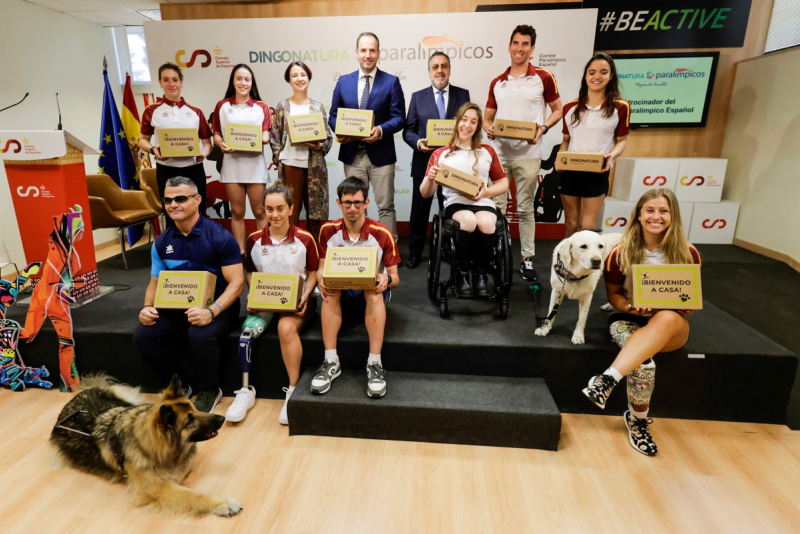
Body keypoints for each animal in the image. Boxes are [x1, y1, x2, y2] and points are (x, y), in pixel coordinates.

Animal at [50, 376, 242, 520]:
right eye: (190, 421)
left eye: (196, 409)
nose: (222, 419)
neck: (148, 444)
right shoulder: (156, 489)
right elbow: (194, 495)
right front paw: (224, 504)